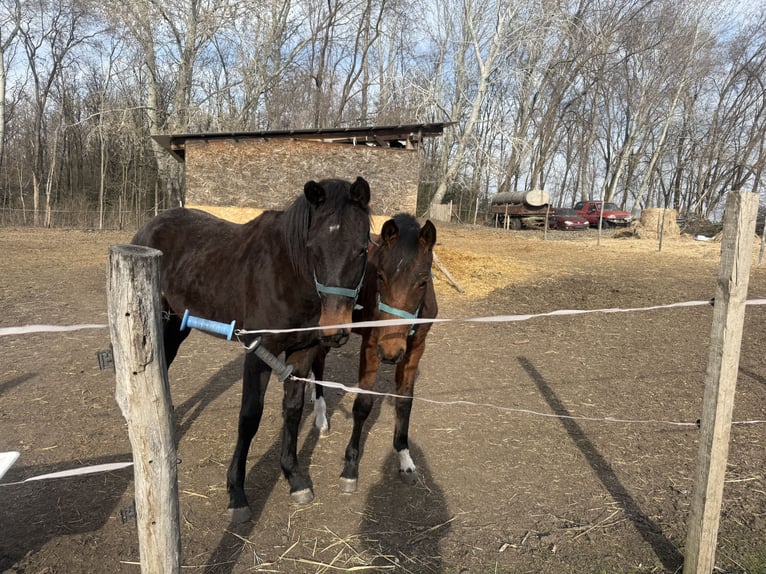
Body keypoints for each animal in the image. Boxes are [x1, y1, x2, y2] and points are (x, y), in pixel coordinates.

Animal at [131, 177, 371, 522]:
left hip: (178, 324)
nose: (335, 330)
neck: (288, 274)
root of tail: (149, 227)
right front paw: (236, 494)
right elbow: (249, 417)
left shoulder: (303, 351)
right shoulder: (258, 351)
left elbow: (293, 410)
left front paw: (294, 478)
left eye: (363, 249)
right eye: (313, 248)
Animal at [311, 213, 438, 493]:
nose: (390, 353)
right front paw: (350, 468)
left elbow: (404, 402)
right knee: (317, 362)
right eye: (380, 276)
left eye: (423, 281)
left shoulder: (415, 349)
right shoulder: (370, 346)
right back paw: (321, 417)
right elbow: (363, 404)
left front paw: (405, 459)